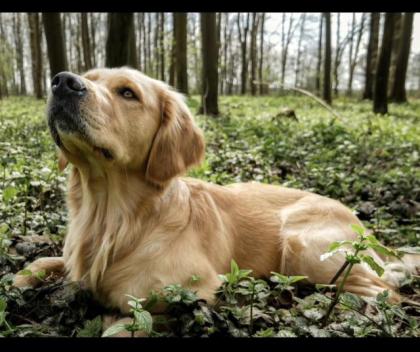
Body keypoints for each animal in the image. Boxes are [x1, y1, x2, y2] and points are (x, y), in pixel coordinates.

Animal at [14, 66, 418, 320]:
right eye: (88, 77)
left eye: (127, 93)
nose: (62, 82)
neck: (111, 218)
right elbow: (43, 261)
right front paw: (18, 282)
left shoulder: (185, 293)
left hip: (304, 247)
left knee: (387, 291)